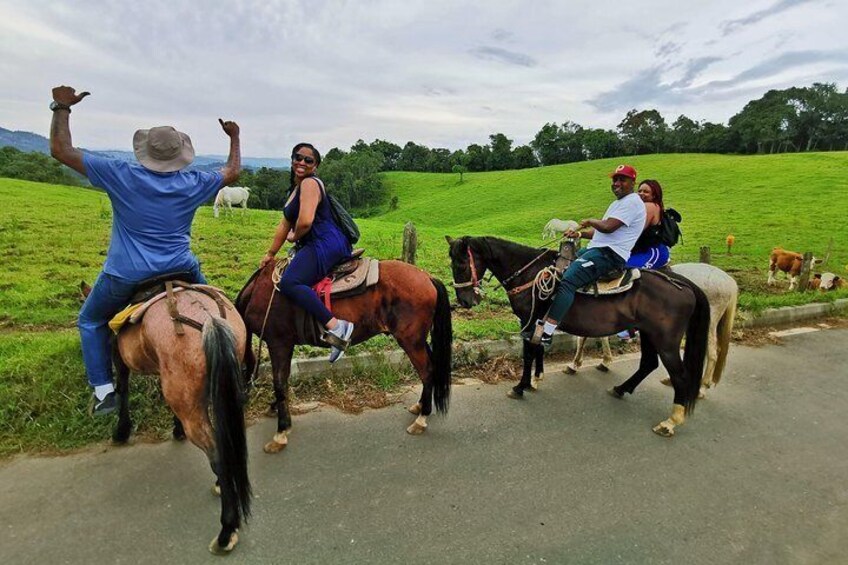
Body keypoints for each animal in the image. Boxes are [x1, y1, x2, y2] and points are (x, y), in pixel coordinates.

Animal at [81, 280, 250, 552]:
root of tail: (209, 319)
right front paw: (176, 429)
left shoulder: (120, 358)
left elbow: (123, 388)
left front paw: (121, 431)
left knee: (217, 453)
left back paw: (227, 530)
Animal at [235, 258, 454, 452]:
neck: (258, 292)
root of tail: (427, 277)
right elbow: (283, 380)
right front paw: (275, 408)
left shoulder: (279, 343)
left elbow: (279, 382)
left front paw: (281, 432)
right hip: (418, 340)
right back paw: (420, 405)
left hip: (410, 341)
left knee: (427, 371)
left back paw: (422, 418)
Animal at [448, 236, 712, 438]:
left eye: (461, 264)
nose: (465, 301)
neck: (531, 274)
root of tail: (681, 283)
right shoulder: (537, 321)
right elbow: (538, 347)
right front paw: (536, 379)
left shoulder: (530, 320)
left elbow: (529, 352)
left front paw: (521, 386)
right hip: (648, 334)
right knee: (648, 363)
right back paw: (621, 389)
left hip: (665, 341)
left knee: (679, 375)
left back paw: (671, 421)